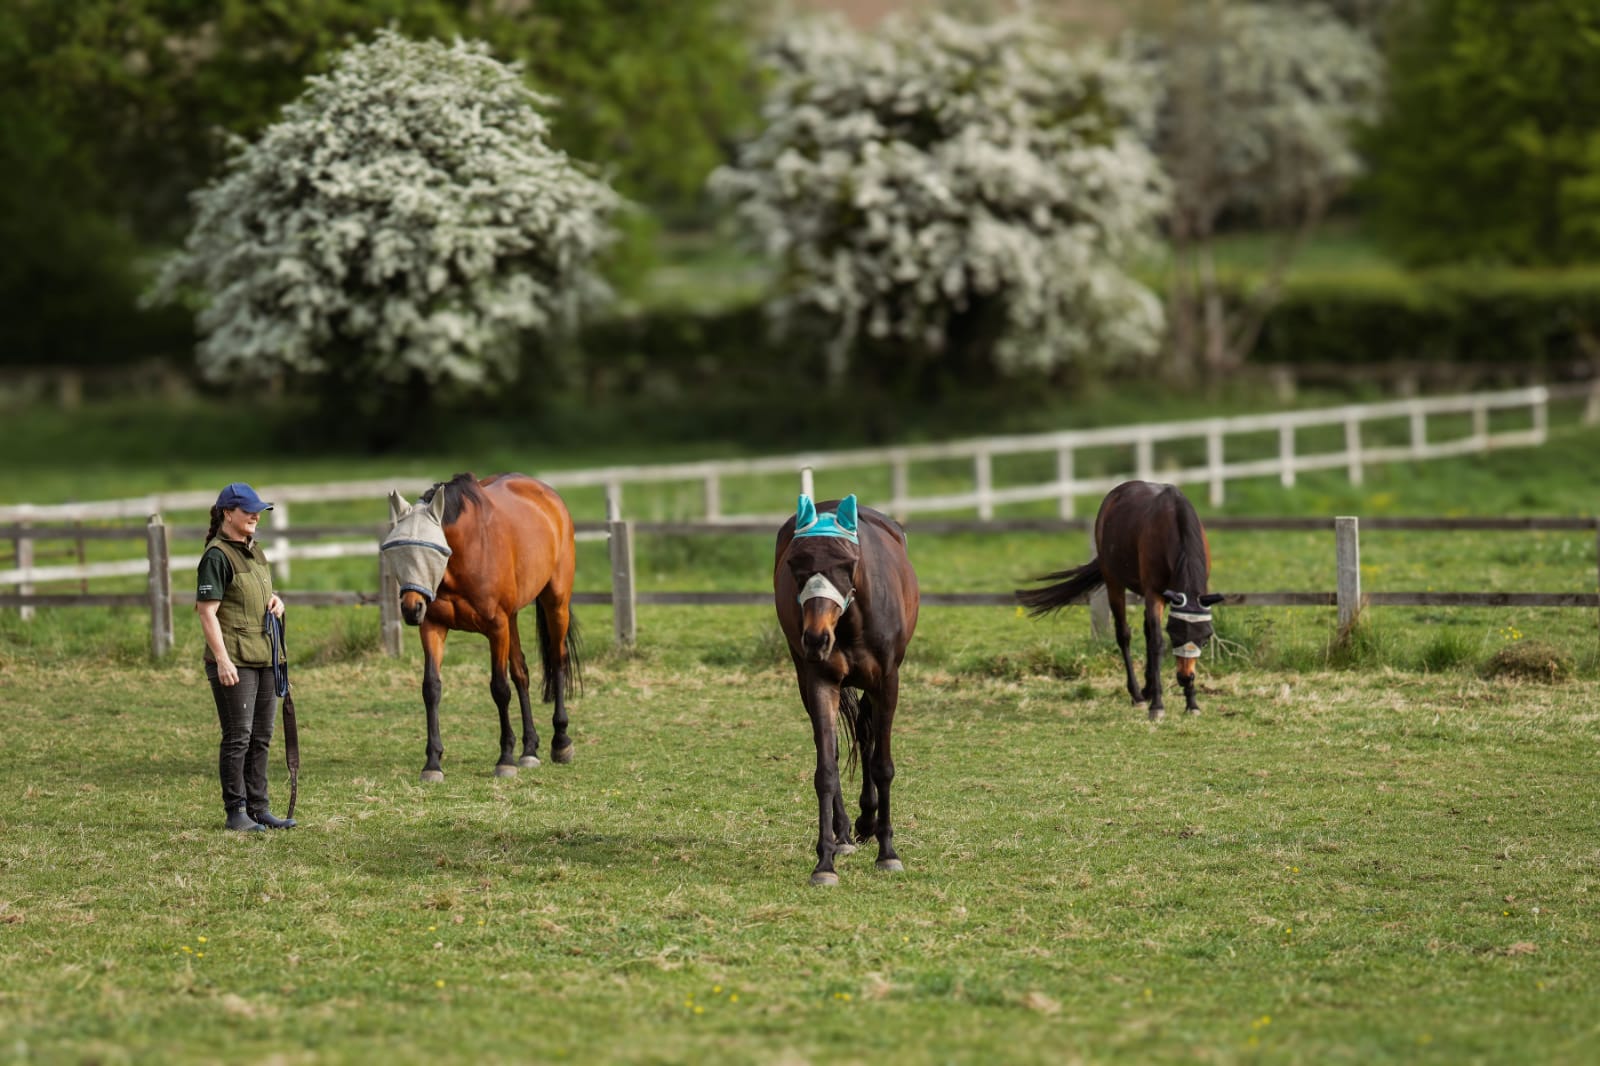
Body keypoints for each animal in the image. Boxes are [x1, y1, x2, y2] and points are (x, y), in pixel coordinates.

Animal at [381, 473, 581, 781]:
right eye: (396, 550)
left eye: (433, 552)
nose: (411, 608)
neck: (466, 553)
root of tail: (547, 494)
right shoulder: (433, 626)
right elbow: (431, 688)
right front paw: (433, 763)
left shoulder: (496, 626)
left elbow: (499, 688)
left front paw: (505, 759)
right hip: (512, 617)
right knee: (521, 673)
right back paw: (530, 750)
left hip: (555, 601)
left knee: (557, 661)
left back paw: (560, 742)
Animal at [774, 494, 920, 886]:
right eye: (795, 563)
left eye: (847, 562)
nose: (816, 638)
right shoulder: (820, 681)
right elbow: (826, 768)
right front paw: (825, 861)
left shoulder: (887, 681)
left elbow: (882, 764)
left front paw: (888, 852)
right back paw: (843, 834)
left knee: (867, 732)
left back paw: (868, 822)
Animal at [1016, 481, 1222, 721]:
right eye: (1175, 636)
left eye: (1205, 639)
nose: (1185, 677)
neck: (1175, 525)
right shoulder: (1154, 592)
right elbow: (1156, 642)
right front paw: (1157, 705)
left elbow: (1155, 637)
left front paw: (1191, 703)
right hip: (1113, 580)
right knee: (1123, 634)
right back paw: (1138, 695)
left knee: (1146, 629)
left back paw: (1147, 689)